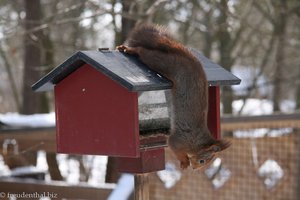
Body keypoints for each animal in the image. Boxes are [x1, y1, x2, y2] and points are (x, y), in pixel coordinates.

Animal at [116, 23, 230, 170]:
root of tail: (189, 58)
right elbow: (174, 147)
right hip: (164, 62)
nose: (195, 169)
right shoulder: (179, 139)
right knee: (144, 52)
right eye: (202, 161)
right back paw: (128, 49)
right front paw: (184, 162)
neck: (196, 142)